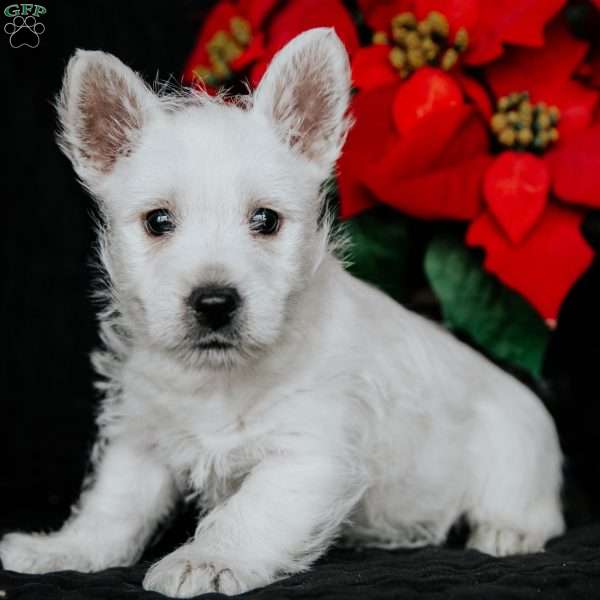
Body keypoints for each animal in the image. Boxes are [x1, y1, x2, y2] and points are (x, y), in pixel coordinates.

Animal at [0, 29, 564, 600]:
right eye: (158, 221)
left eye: (265, 220)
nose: (214, 302)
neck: (220, 380)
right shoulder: (141, 436)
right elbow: (113, 506)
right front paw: (64, 550)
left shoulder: (308, 453)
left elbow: (248, 513)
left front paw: (206, 560)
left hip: (516, 456)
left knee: (535, 512)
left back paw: (507, 532)